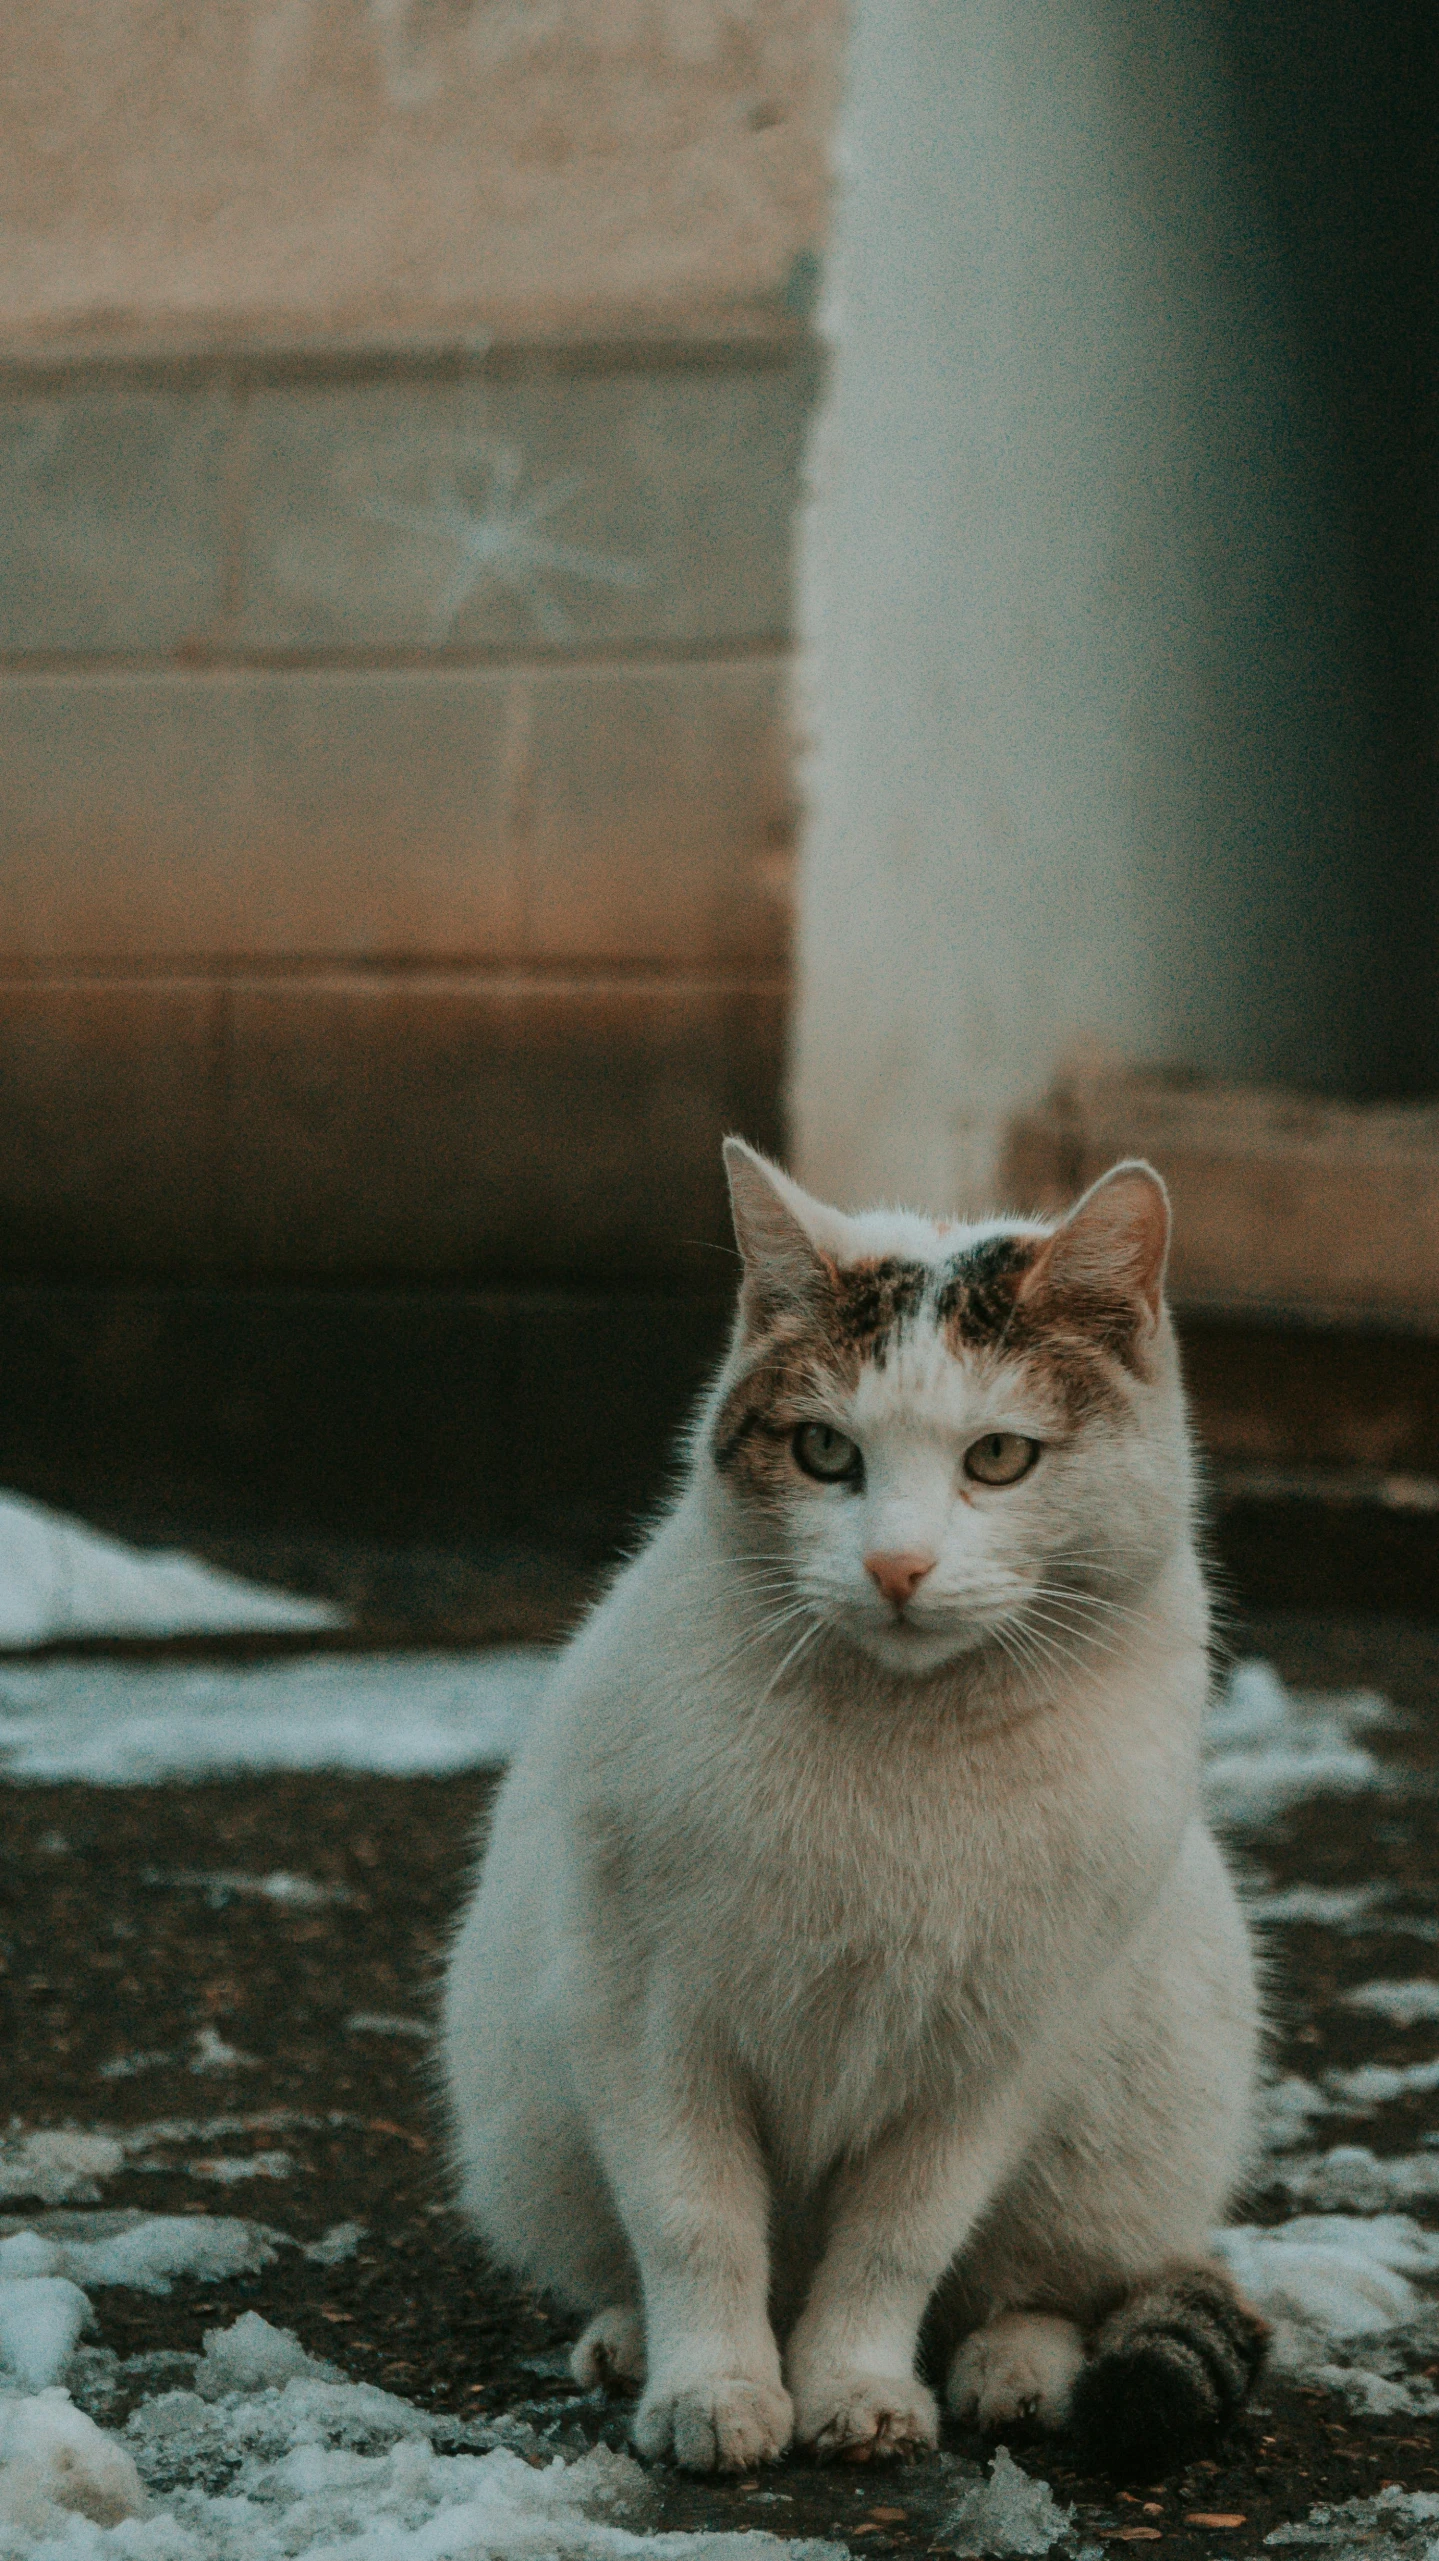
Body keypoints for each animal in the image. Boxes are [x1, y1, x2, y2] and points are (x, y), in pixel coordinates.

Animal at [442, 1142, 1259, 2458]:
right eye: (825, 1451)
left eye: (996, 1456)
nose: (893, 1564)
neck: (904, 1735)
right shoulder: (648, 2018)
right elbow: (692, 2220)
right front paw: (713, 2389)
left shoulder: (993, 2054)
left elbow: (896, 2242)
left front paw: (857, 2387)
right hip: (525, 2118)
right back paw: (629, 2340)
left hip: (1133, 2124)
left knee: (1047, 2283)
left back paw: (1014, 2369)